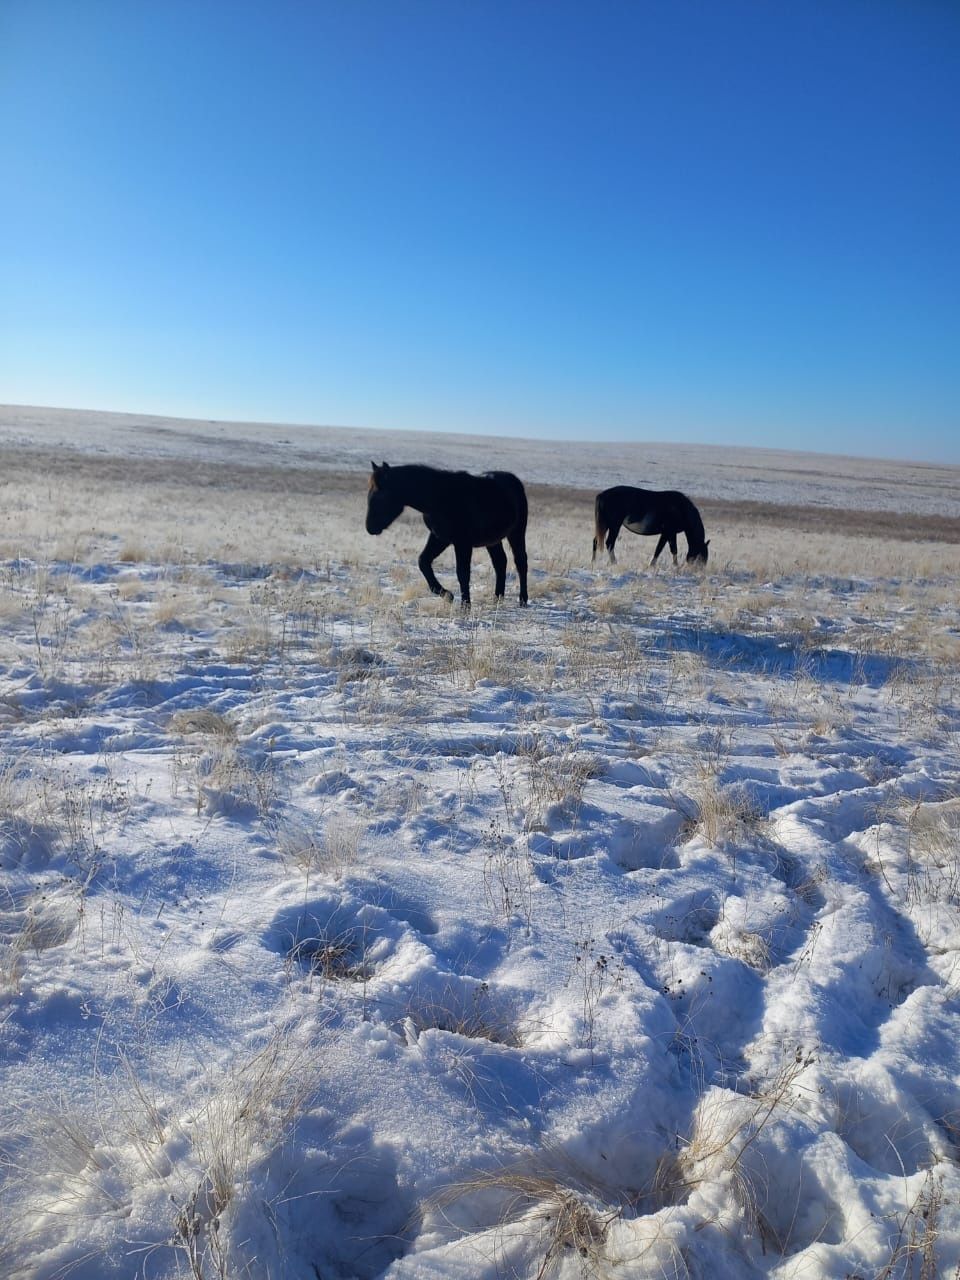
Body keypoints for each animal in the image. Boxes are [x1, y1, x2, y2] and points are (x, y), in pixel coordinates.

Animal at [368, 463, 535, 606]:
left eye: (380, 496)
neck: (440, 497)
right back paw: (497, 598)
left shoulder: (462, 543)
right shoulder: (439, 538)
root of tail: (514, 481)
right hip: (492, 540)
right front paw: (447, 595)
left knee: (520, 562)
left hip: (517, 533)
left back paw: (523, 599)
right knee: (500, 562)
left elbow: (462, 573)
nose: (370, 527)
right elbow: (423, 562)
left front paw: (465, 606)